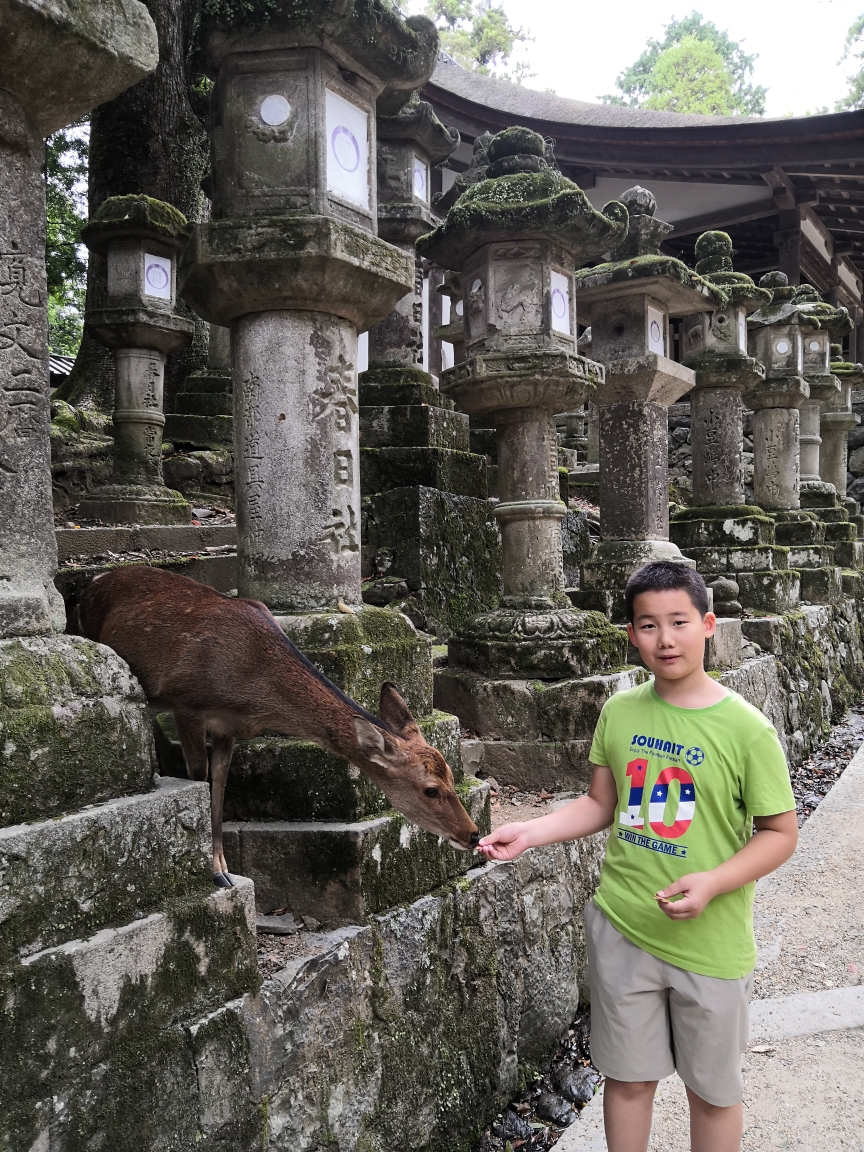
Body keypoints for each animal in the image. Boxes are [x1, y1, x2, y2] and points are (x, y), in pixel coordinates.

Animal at [79, 564, 481, 880]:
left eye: (451, 775)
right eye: (431, 790)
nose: (474, 834)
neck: (255, 693)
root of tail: (89, 584)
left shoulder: (227, 728)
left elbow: (219, 787)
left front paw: (224, 869)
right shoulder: (186, 701)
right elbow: (199, 779)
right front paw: (211, 870)